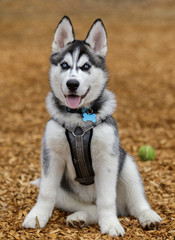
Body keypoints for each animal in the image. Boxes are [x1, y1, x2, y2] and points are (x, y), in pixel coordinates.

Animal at [22, 16, 162, 236]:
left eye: (86, 66)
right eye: (64, 65)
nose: (72, 84)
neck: (78, 122)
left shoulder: (107, 158)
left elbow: (106, 199)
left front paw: (111, 224)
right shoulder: (51, 156)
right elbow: (46, 193)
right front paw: (36, 217)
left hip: (127, 164)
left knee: (135, 203)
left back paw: (148, 217)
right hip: (64, 193)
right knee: (90, 208)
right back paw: (79, 217)